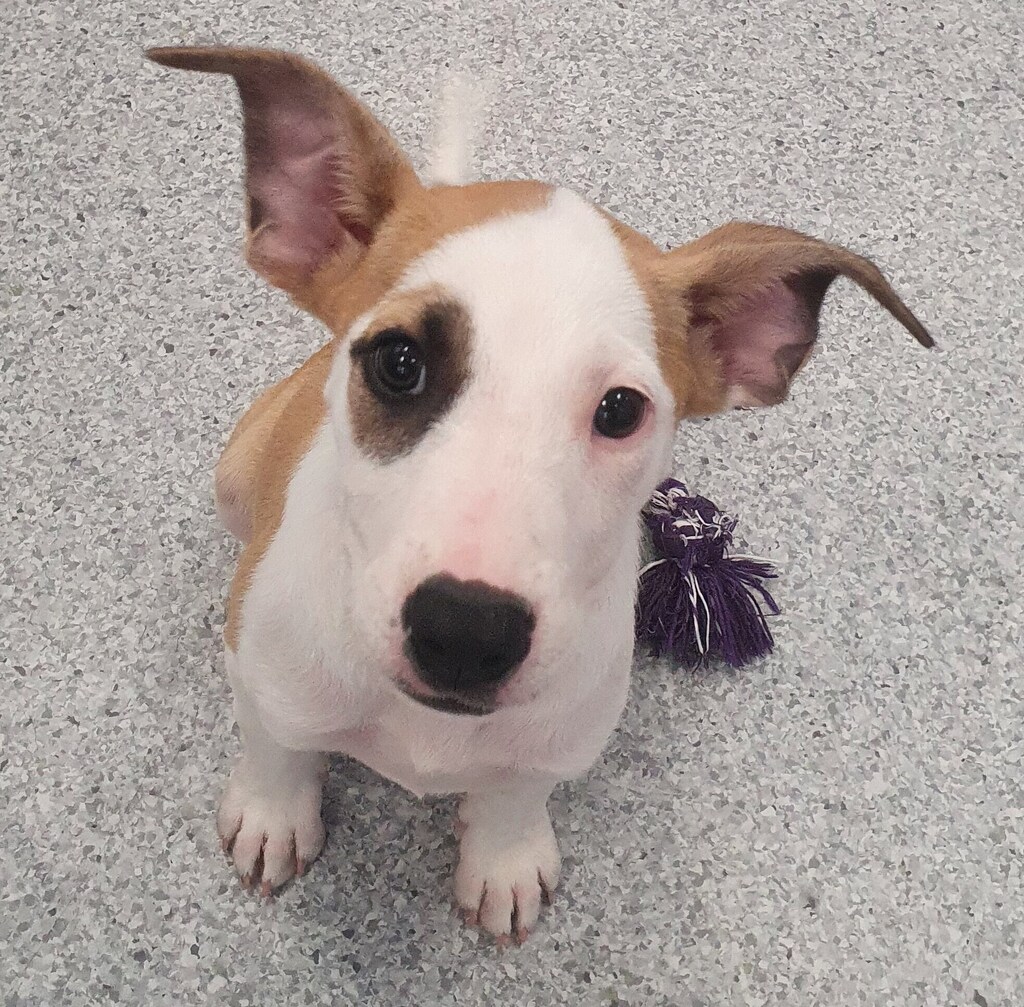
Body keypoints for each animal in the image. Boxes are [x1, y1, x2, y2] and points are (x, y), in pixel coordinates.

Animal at [146, 45, 932, 944]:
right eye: (398, 362)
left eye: (620, 410)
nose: (464, 629)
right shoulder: (261, 667)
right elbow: (276, 744)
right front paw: (274, 813)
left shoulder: (561, 736)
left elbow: (517, 791)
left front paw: (503, 855)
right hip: (236, 472)